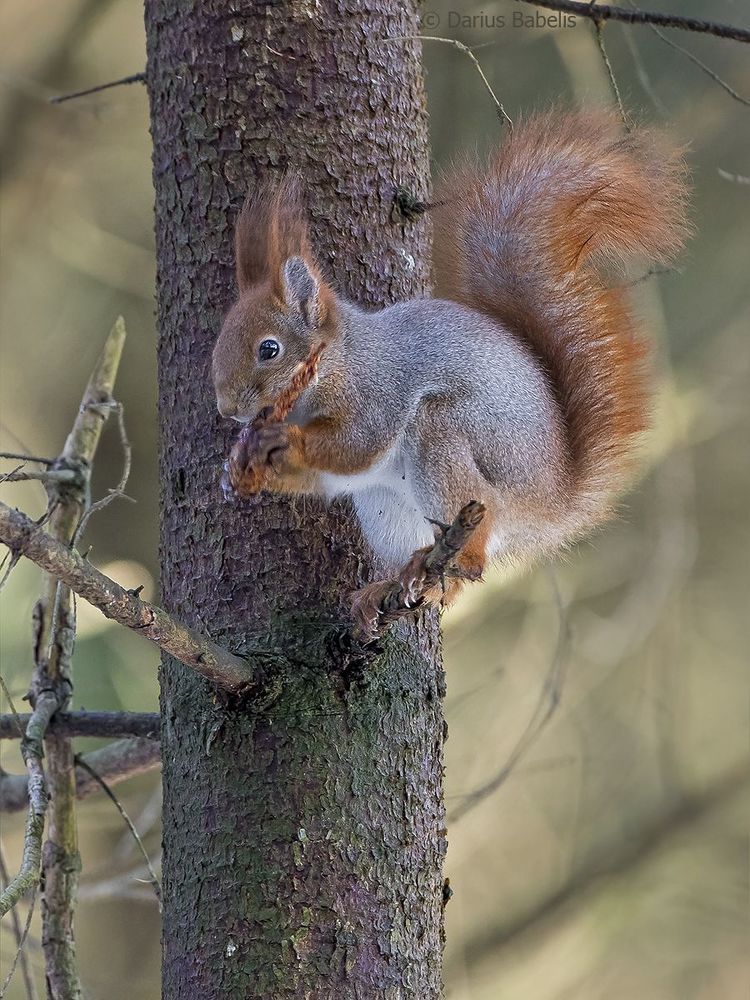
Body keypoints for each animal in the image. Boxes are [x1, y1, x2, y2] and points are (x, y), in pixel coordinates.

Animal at [213, 110, 689, 625]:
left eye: (269, 349)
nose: (226, 408)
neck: (337, 362)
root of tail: (550, 502)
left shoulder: (376, 391)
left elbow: (356, 445)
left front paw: (285, 442)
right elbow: (328, 474)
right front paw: (244, 469)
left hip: (446, 442)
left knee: (476, 554)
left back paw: (447, 567)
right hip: (386, 507)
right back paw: (389, 587)